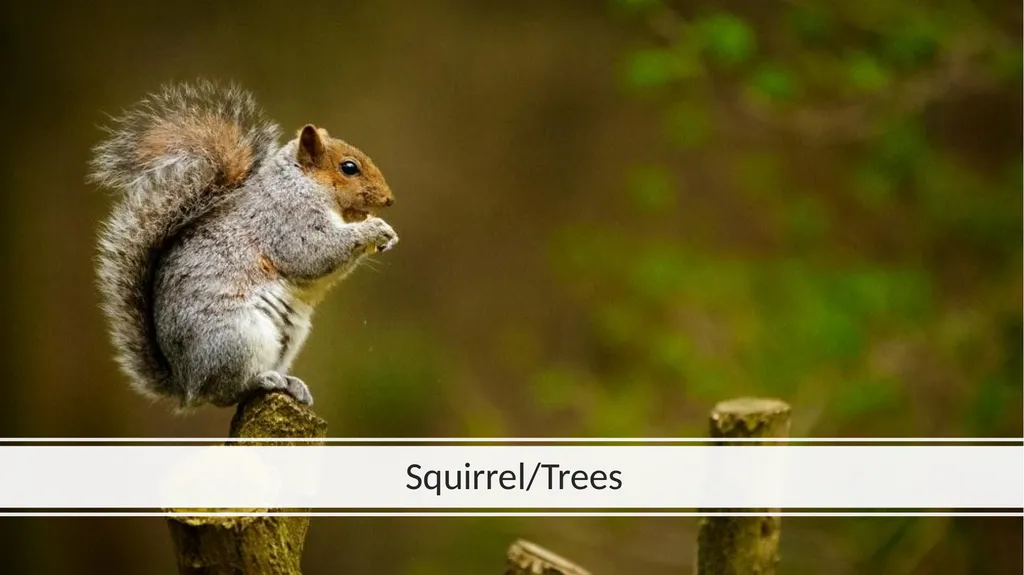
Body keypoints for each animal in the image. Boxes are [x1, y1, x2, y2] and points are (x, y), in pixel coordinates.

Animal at [89, 80, 399, 409]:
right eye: (349, 168)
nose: (389, 199)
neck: (302, 183)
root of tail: (186, 384)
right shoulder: (287, 221)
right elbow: (314, 253)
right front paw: (373, 229)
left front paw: (387, 235)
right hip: (238, 337)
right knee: (226, 392)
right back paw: (263, 380)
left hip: (288, 338)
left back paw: (291, 383)